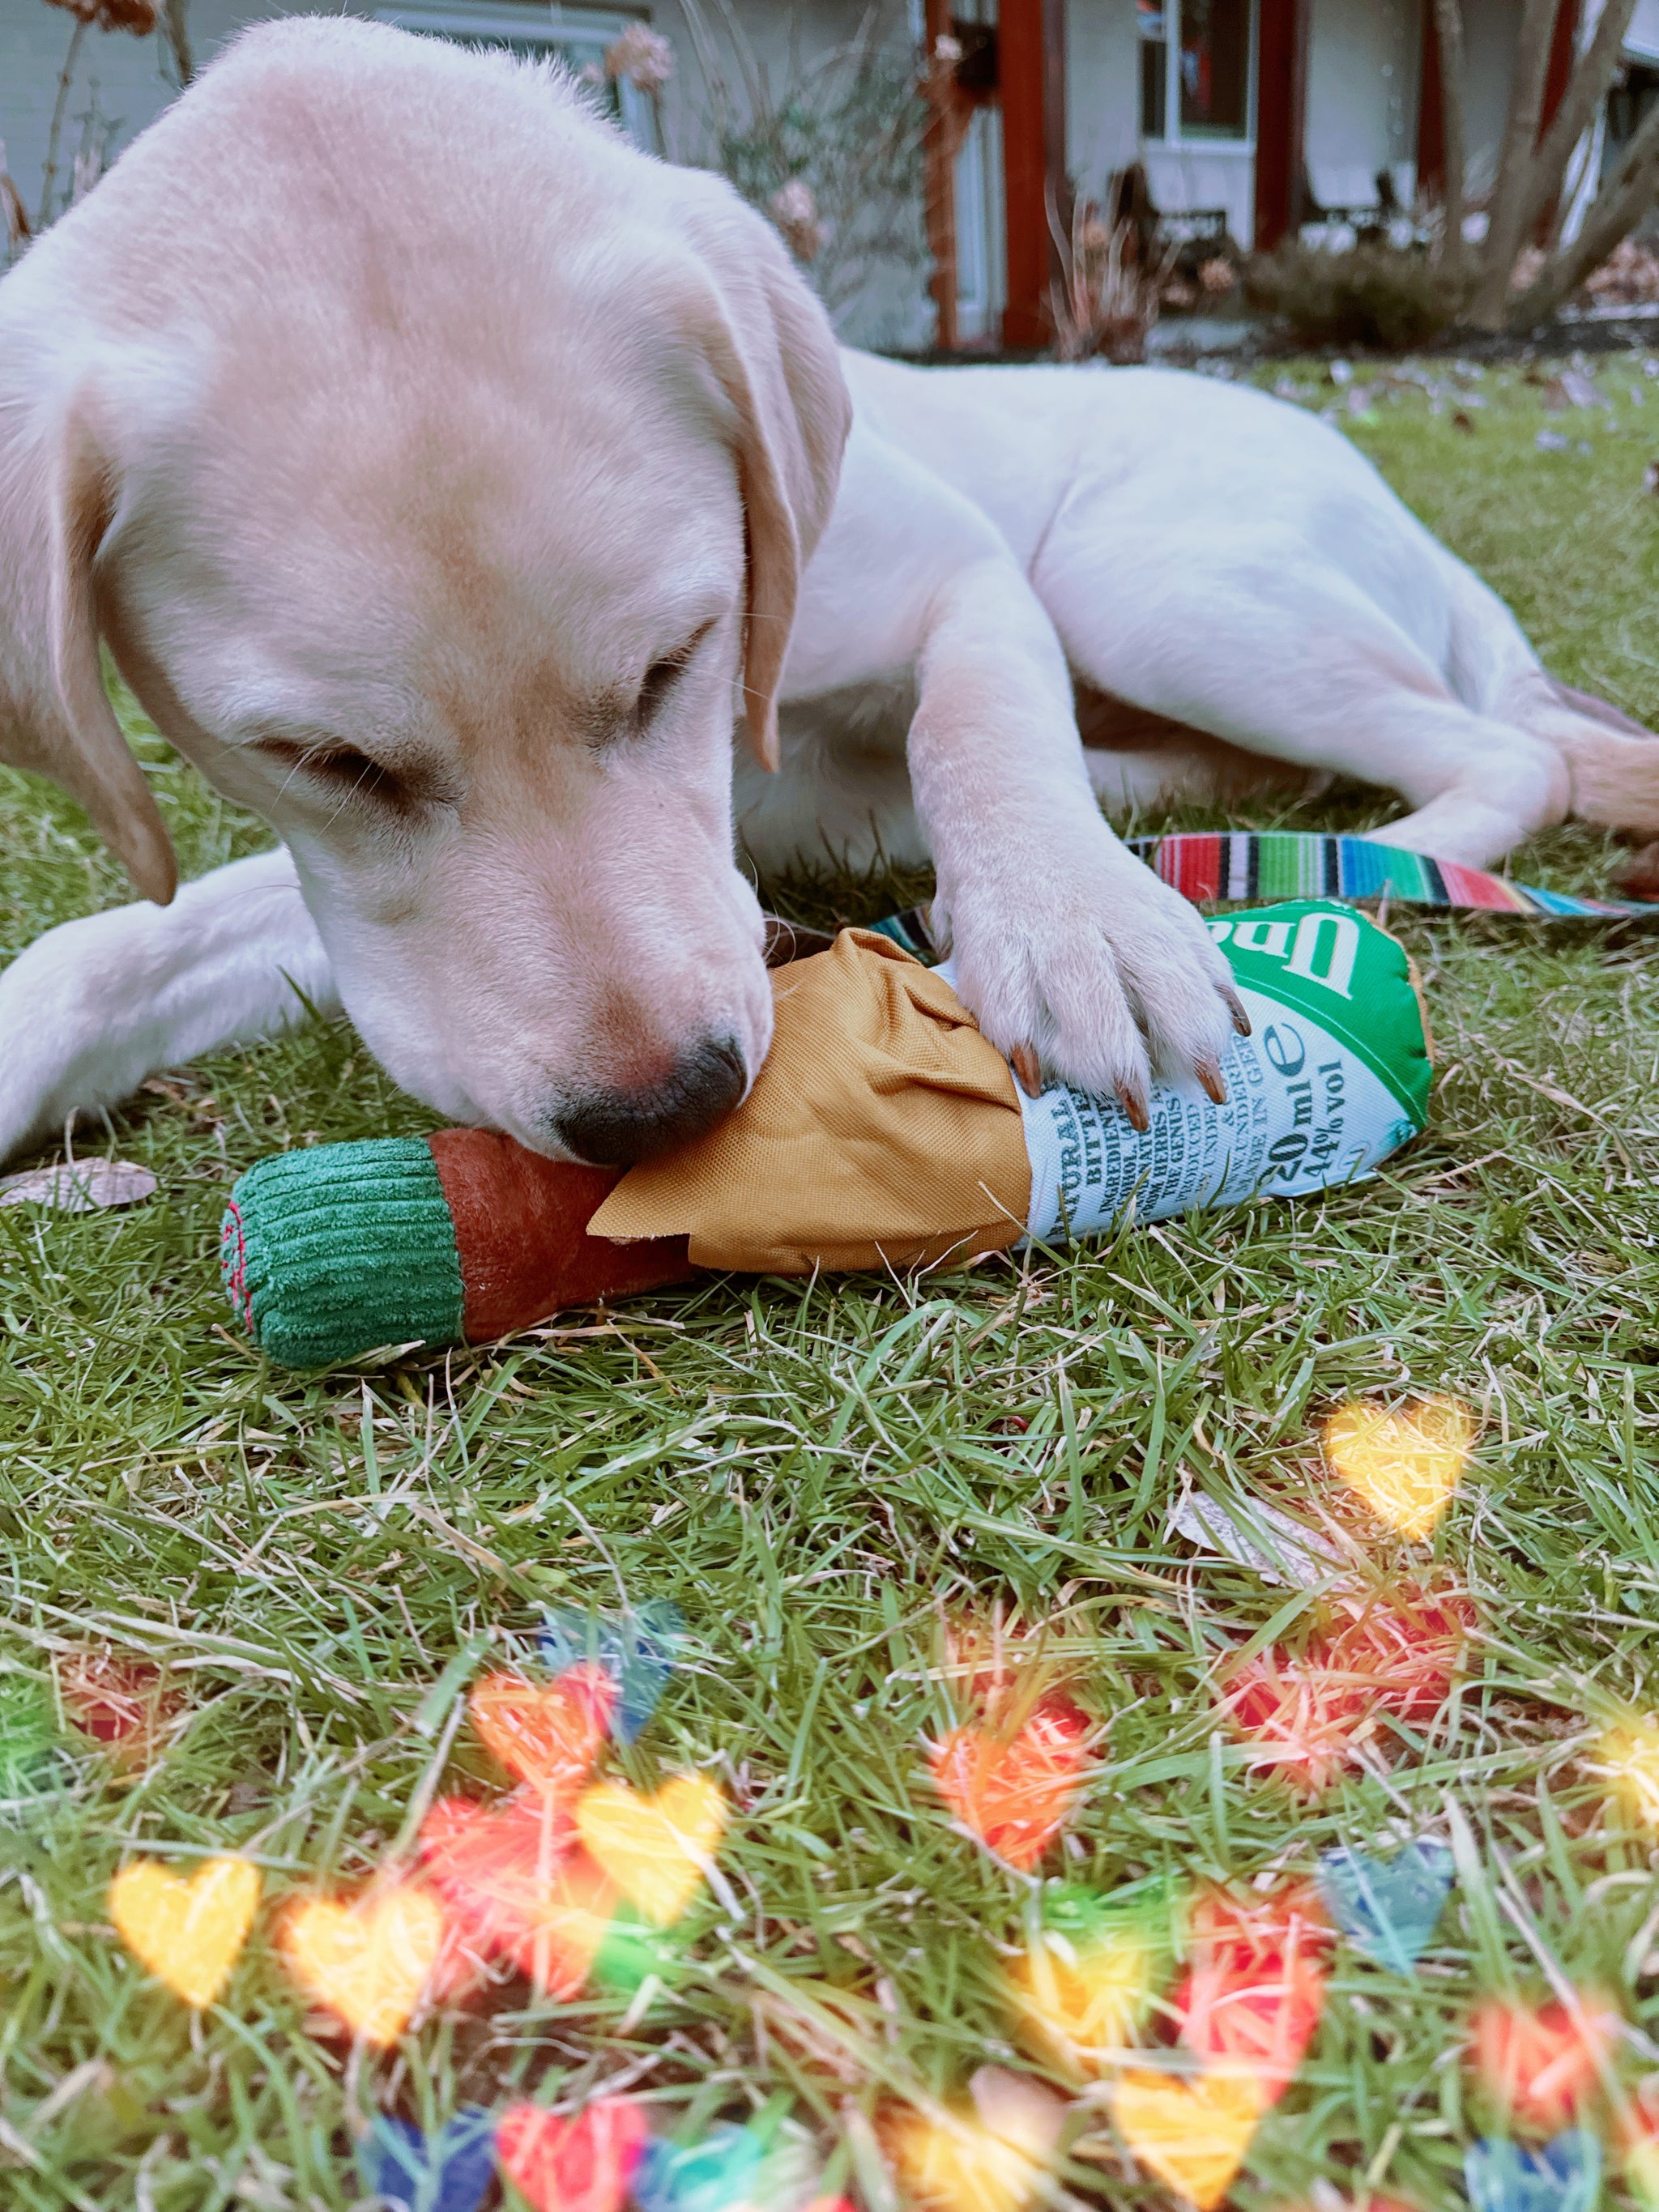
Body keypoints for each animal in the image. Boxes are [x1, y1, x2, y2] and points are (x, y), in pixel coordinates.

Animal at [3, 26, 1659, 1167]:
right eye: (324, 760)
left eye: (675, 660)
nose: (662, 1111)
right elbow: (120, 944)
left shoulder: (959, 573)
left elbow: (985, 729)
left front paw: (1082, 925)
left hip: (1145, 582)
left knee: (1501, 753)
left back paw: (1351, 866)